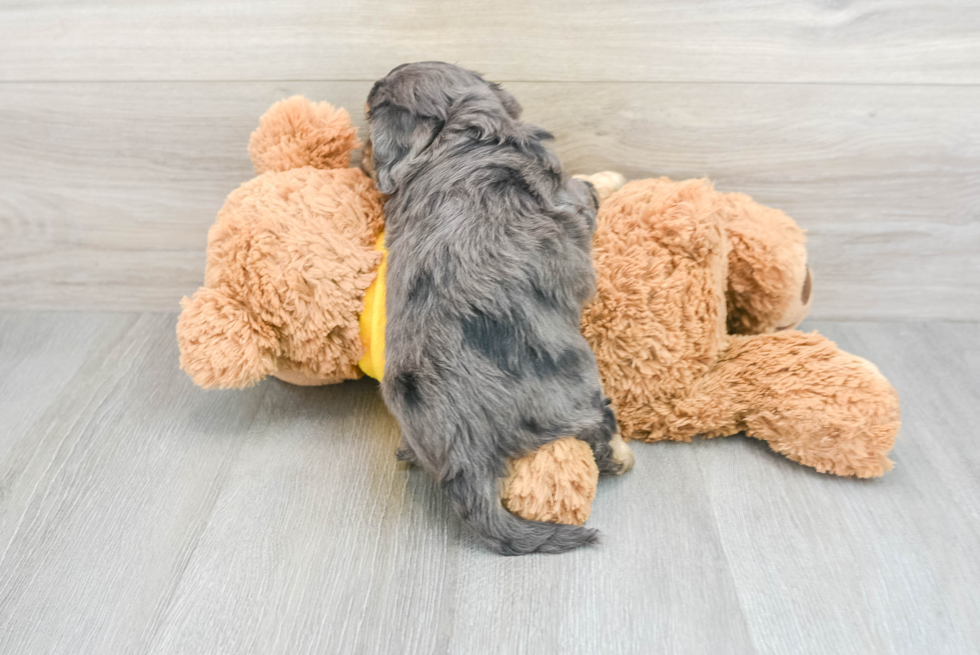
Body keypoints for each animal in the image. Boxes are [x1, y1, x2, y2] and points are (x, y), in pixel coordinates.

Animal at [368, 61, 628, 556]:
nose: (371, 84)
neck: (463, 137)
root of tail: (463, 453)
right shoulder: (569, 198)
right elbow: (585, 190)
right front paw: (607, 179)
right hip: (578, 393)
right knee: (596, 431)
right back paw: (620, 453)